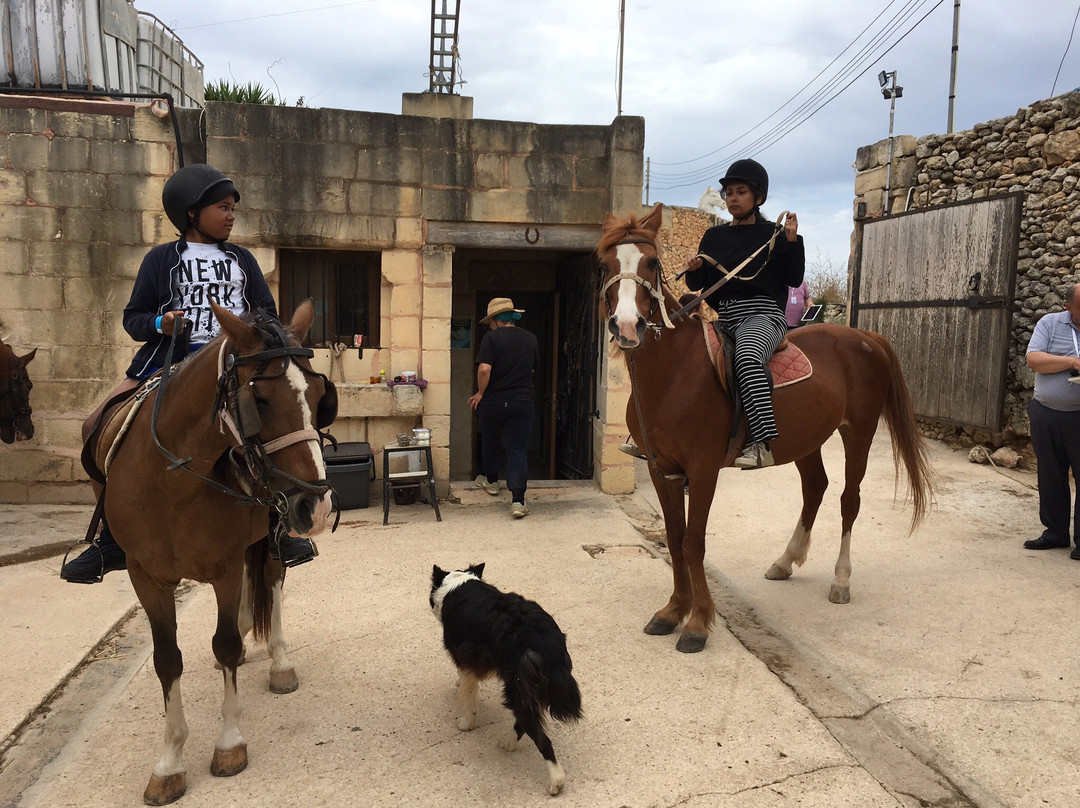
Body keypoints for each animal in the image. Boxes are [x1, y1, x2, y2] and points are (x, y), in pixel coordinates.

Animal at [96, 300, 337, 804]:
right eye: (258, 401)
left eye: (319, 395)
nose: (318, 506)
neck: (174, 481)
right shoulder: (145, 576)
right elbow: (167, 659)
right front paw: (169, 762)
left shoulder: (224, 566)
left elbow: (224, 642)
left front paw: (229, 743)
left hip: (271, 531)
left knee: (271, 581)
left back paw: (278, 661)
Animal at [597, 203, 933, 653]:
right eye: (606, 264)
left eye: (651, 262)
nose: (627, 326)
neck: (674, 373)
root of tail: (864, 336)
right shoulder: (660, 467)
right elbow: (673, 536)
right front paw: (672, 610)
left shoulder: (702, 470)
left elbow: (693, 541)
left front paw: (698, 622)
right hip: (807, 439)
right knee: (815, 487)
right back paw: (786, 560)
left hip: (858, 432)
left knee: (849, 500)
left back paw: (841, 580)